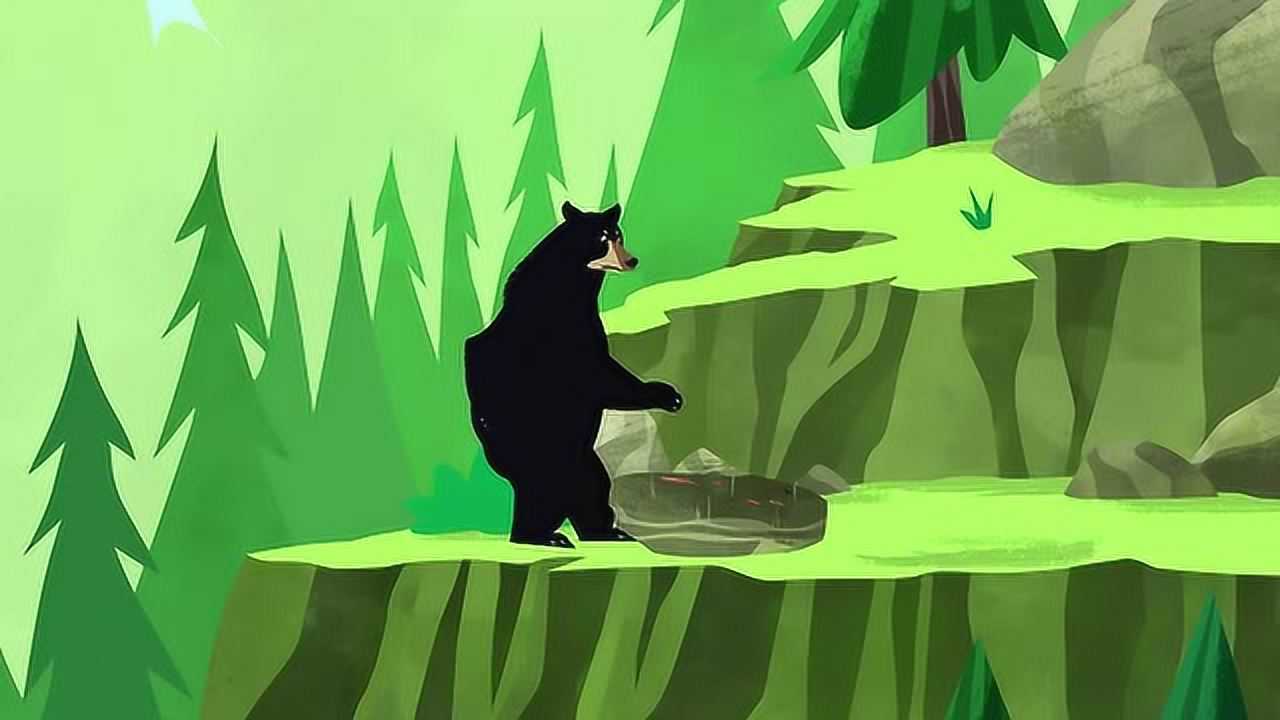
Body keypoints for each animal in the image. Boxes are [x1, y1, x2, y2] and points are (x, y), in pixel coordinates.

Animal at [464, 201, 683, 548]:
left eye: (619, 235)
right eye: (603, 238)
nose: (631, 260)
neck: (573, 281)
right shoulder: (562, 330)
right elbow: (600, 374)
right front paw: (664, 393)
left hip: (578, 454)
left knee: (591, 484)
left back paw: (607, 532)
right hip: (540, 447)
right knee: (550, 488)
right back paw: (543, 536)